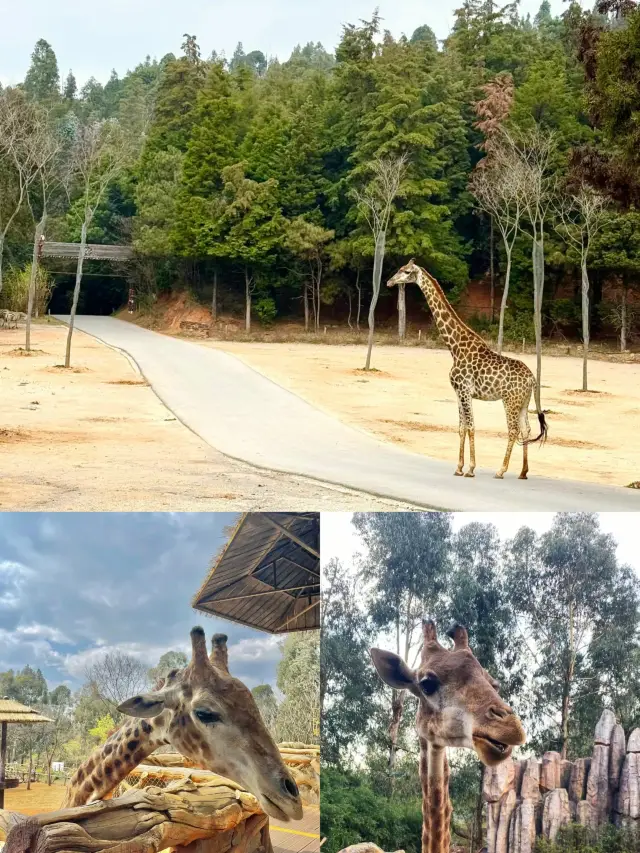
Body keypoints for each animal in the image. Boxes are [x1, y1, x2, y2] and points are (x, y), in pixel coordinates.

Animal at [388, 260, 548, 480]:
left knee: (513, 430)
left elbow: (471, 427)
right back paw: (523, 472)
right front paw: (459, 467)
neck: (454, 347)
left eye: (405, 271)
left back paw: (501, 470)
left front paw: (471, 469)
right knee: (526, 429)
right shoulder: (458, 392)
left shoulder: (464, 390)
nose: (389, 282)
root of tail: (533, 378)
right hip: (523, 402)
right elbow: (461, 428)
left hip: (510, 401)